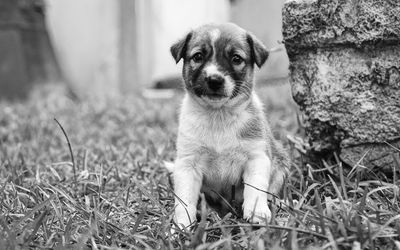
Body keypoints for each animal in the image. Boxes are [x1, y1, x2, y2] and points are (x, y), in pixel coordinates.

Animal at [167, 23, 290, 229]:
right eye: (198, 56)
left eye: (236, 58)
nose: (214, 80)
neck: (218, 115)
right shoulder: (187, 164)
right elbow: (184, 202)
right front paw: (181, 228)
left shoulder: (256, 157)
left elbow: (256, 188)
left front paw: (257, 213)